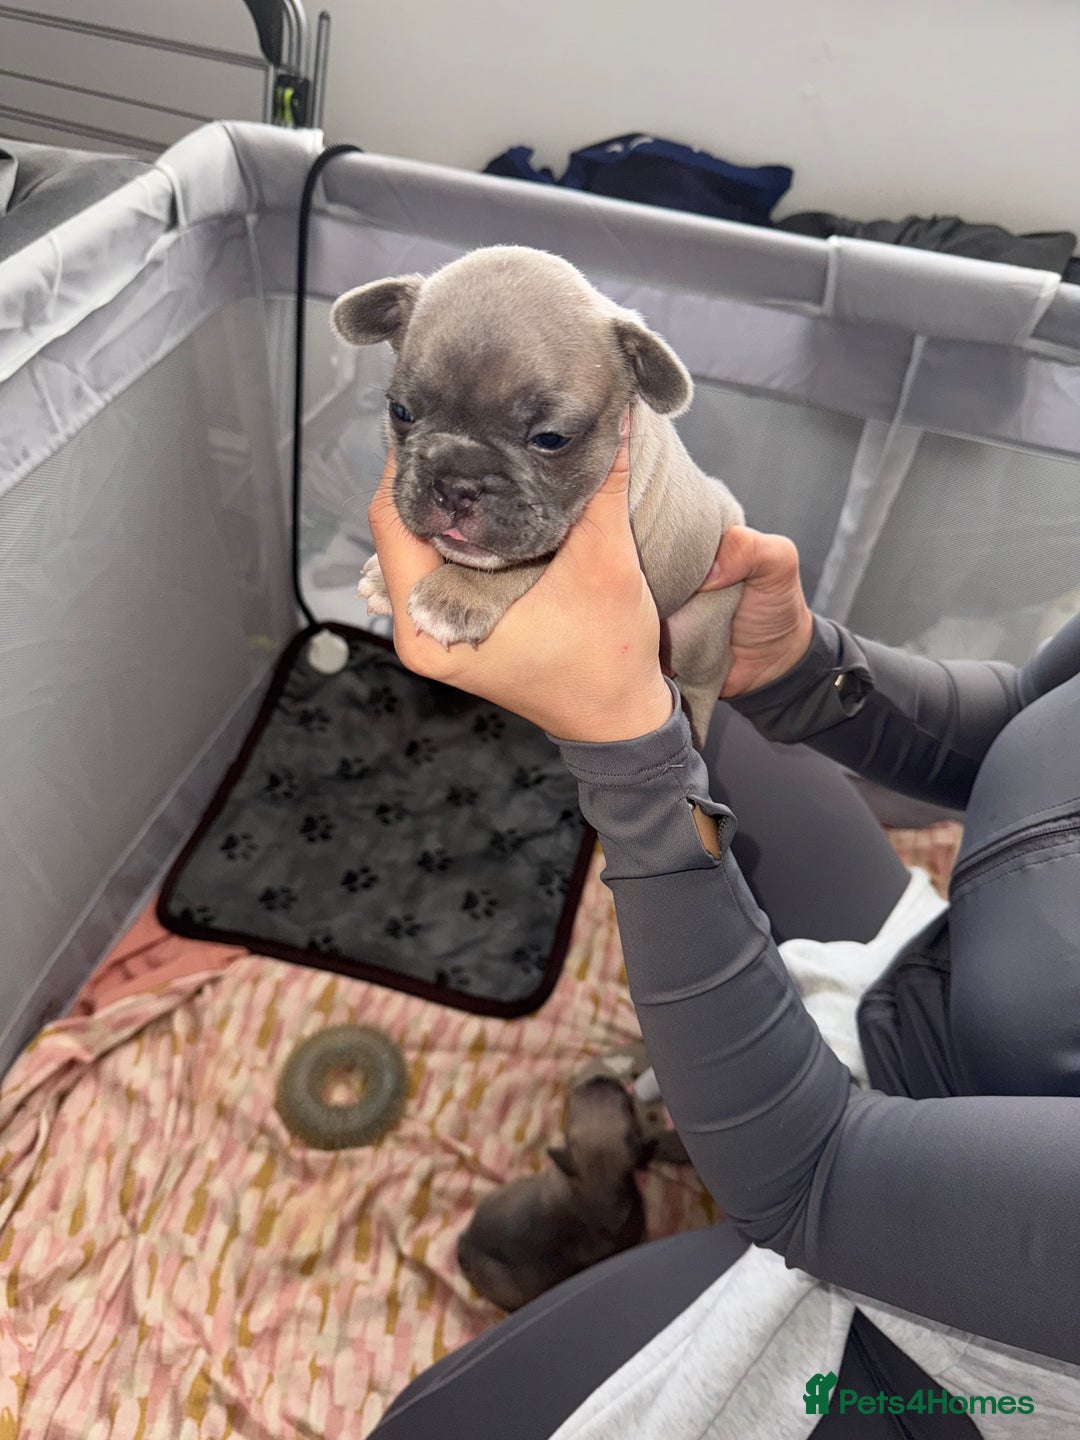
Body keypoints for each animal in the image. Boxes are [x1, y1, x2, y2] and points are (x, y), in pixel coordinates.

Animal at [330, 245, 744, 748]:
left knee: (703, 685)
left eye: (550, 439)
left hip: (703, 628)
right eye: (401, 411)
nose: (457, 484)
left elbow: (527, 560)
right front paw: (381, 578)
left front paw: (458, 592)